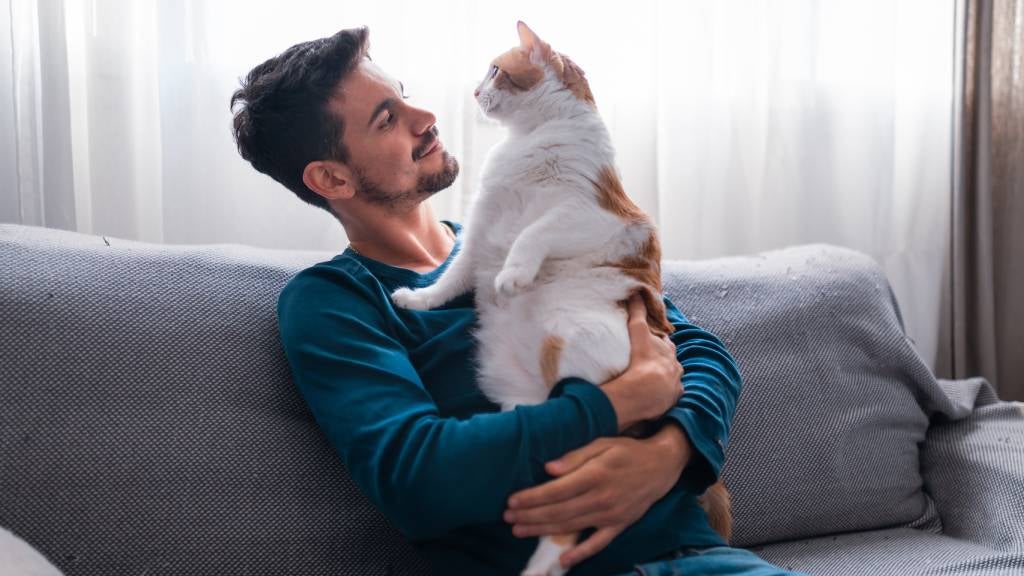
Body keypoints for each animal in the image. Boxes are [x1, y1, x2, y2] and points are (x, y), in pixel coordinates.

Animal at [393, 22, 737, 573]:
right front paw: (417, 299)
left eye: (495, 70)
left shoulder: (595, 215)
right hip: (528, 402)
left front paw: (513, 275)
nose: (474, 92)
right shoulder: (480, 229)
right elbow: (451, 276)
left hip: (570, 346)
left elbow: (533, 233)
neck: (529, 141)